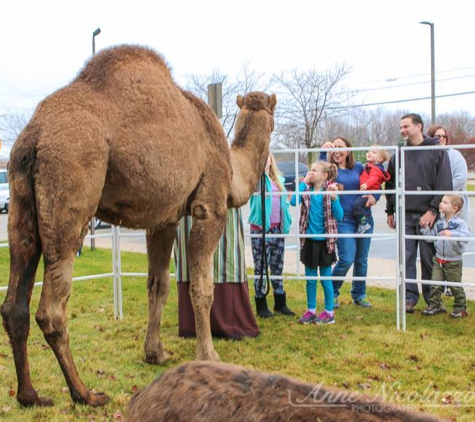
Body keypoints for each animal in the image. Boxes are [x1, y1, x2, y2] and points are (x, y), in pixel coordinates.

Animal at [0, 46, 278, 408]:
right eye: (273, 120)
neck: (233, 169)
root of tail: (35, 135)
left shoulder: (163, 220)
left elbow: (157, 286)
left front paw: (155, 353)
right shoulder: (210, 207)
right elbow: (202, 289)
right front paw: (209, 356)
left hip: (20, 197)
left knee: (15, 298)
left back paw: (31, 396)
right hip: (70, 187)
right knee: (52, 310)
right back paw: (85, 394)